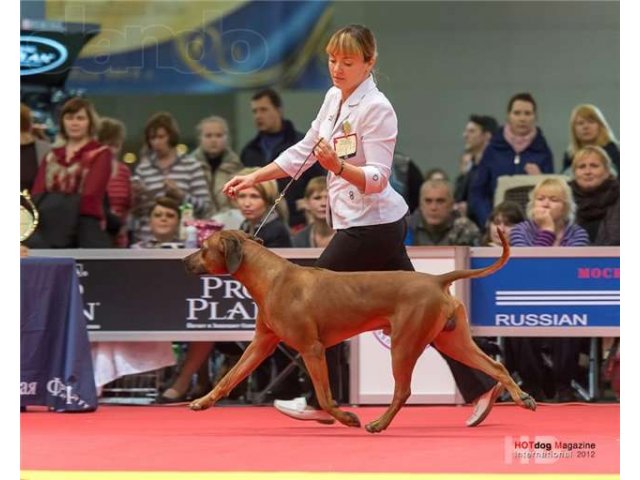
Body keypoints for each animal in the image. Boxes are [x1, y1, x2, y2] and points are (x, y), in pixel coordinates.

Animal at [184, 229, 536, 432]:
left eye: (203, 247)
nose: (185, 262)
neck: (270, 276)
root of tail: (436, 280)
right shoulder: (261, 344)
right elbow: (228, 378)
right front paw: (203, 401)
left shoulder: (311, 348)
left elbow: (325, 397)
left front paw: (348, 418)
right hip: (452, 340)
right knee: (496, 365)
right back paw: (521, 397)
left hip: (404, 343)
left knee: (403, 391)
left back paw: (378, 423)